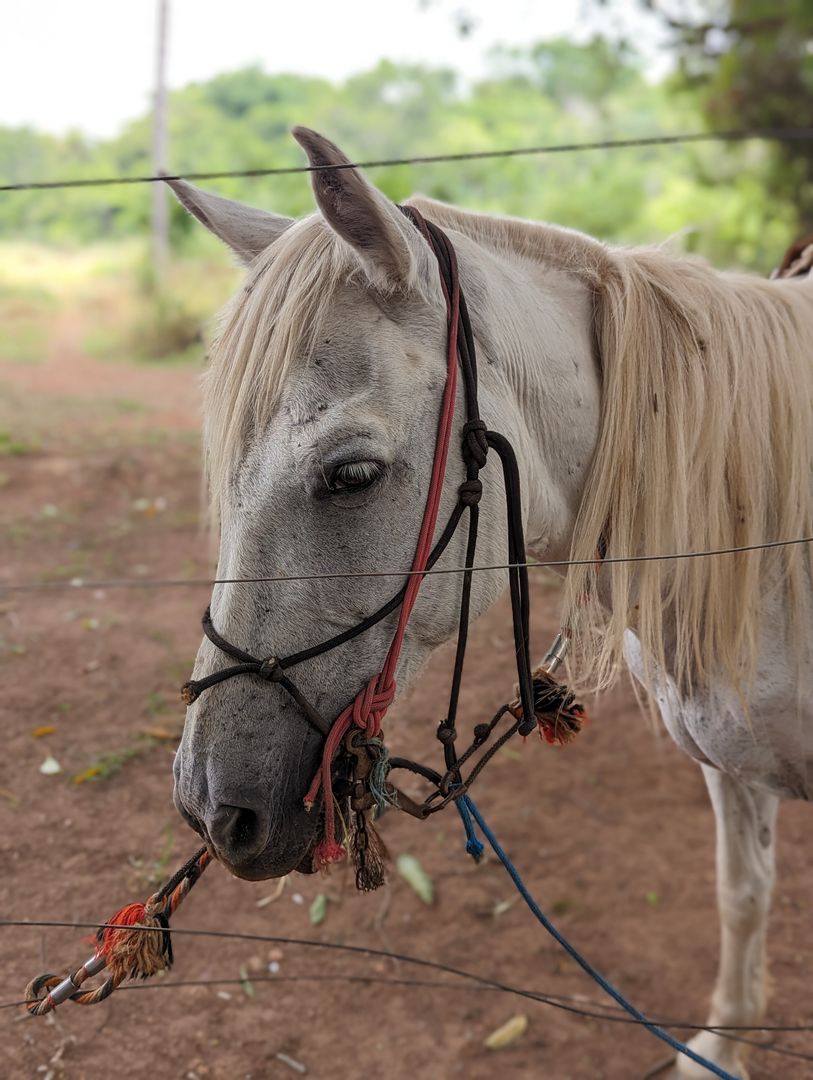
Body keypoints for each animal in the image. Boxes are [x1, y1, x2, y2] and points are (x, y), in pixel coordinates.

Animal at [165, 128, 811, 1080]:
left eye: (351, 474)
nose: (213, 808)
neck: (764, 541)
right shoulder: (731, 767)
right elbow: (742, 896)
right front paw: (717, 1047)